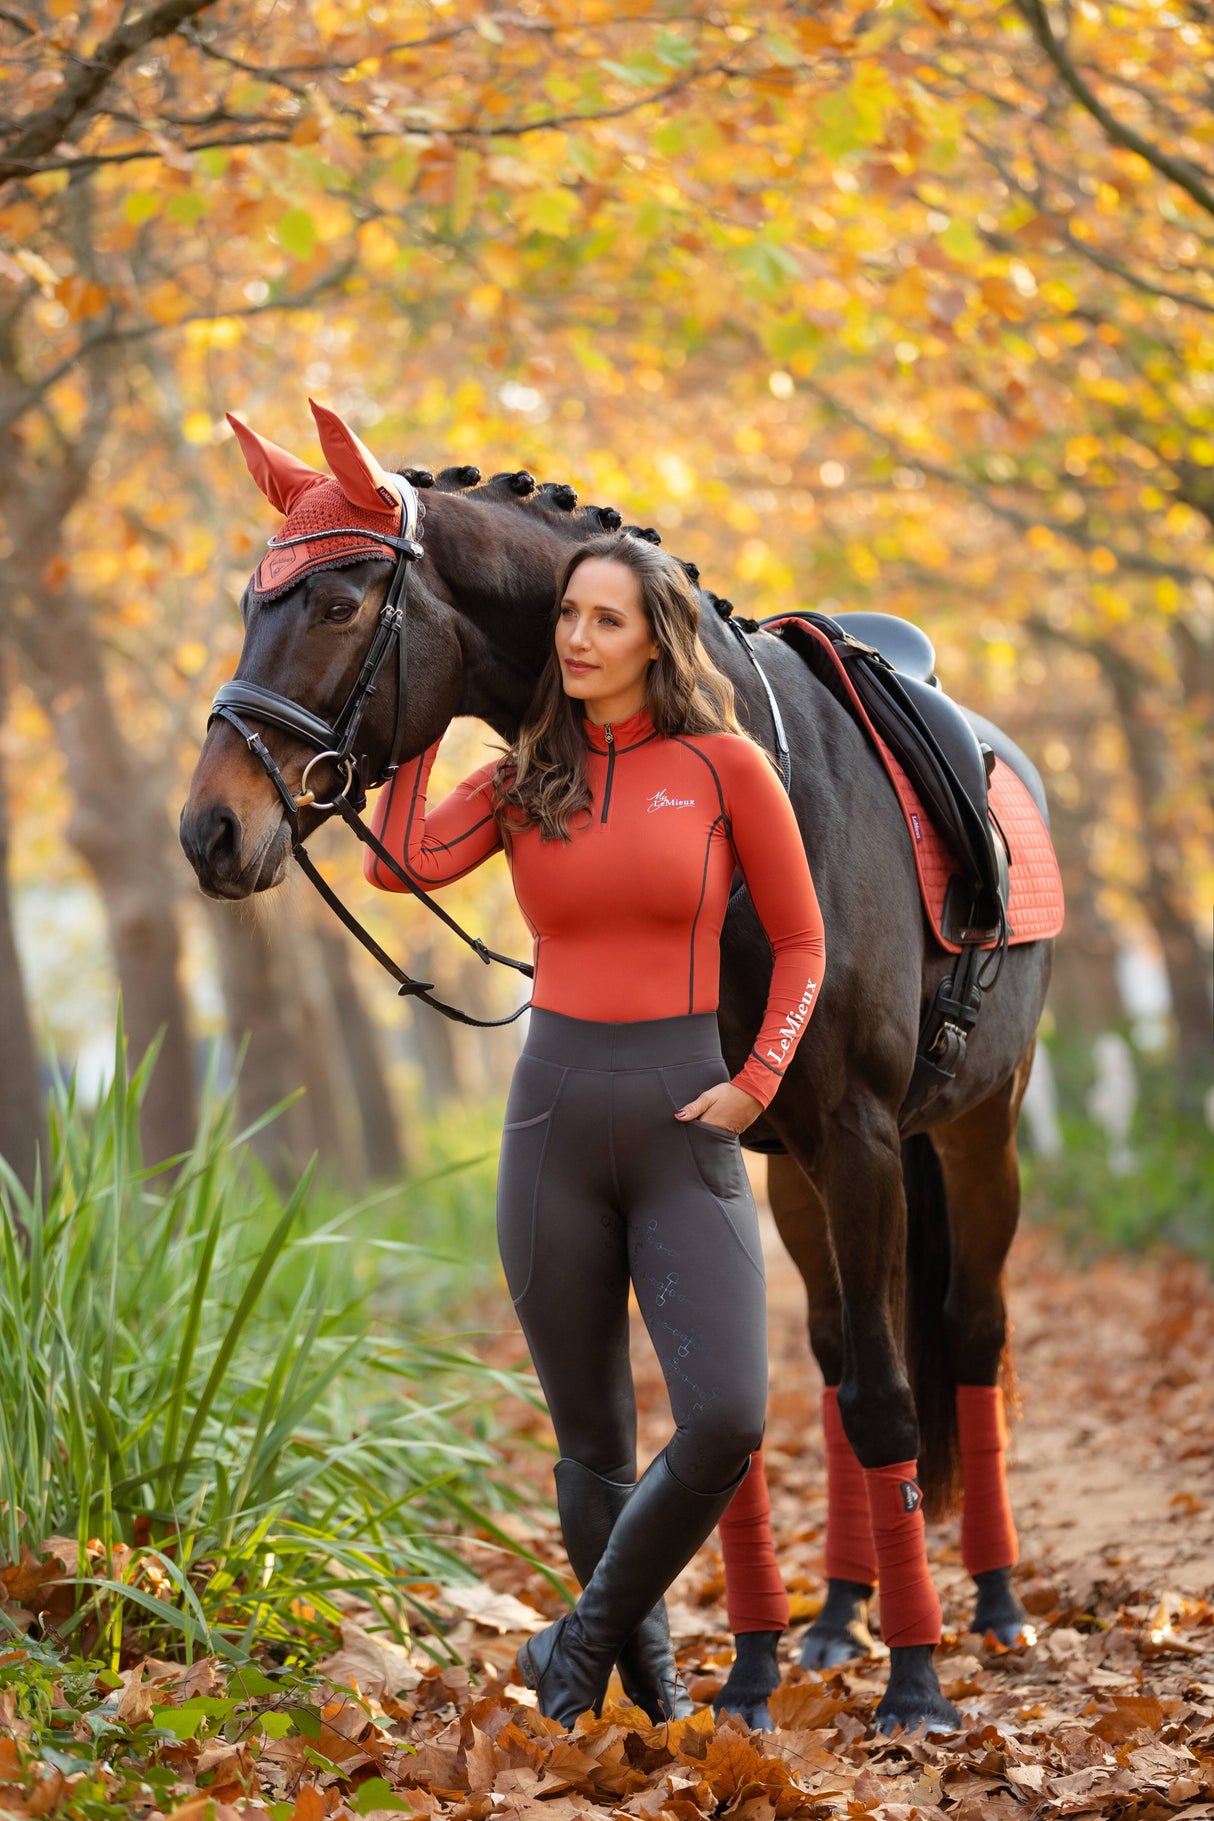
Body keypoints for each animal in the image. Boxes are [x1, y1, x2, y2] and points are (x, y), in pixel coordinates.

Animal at [180, 417, 1055, 1733]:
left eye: (336, 601)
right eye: (247, 603)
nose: (209, 831)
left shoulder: (858, 1135)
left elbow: (888, 1402)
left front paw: (915, 1688)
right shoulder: (764, 1151)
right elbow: (754, 1410)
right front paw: (748, 1673)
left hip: (971, 1131)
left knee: (963, 1338)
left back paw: (991, 1606)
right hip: (796, 1173)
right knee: (833, 1356)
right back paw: (835, 1619)